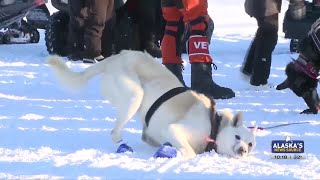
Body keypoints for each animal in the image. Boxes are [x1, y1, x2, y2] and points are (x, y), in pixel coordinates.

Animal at [48, 50, 258, 158]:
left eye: (250, 144)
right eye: (237, 137)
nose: (243, 151)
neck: (214, 124)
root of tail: (117, 57)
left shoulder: (152, 134)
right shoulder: (175, 129)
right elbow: (189, 152)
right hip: (134, 96)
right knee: (115, 133)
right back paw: (123, 147)